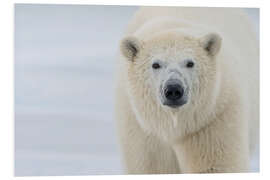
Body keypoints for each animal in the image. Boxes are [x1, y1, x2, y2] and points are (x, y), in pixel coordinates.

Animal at [115, 6, 258, 174]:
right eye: (155, 64)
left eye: (190, 63)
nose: (173, 90)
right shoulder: (142, 130)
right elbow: (151, 167)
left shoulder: (211, 119)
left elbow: (215, 166)